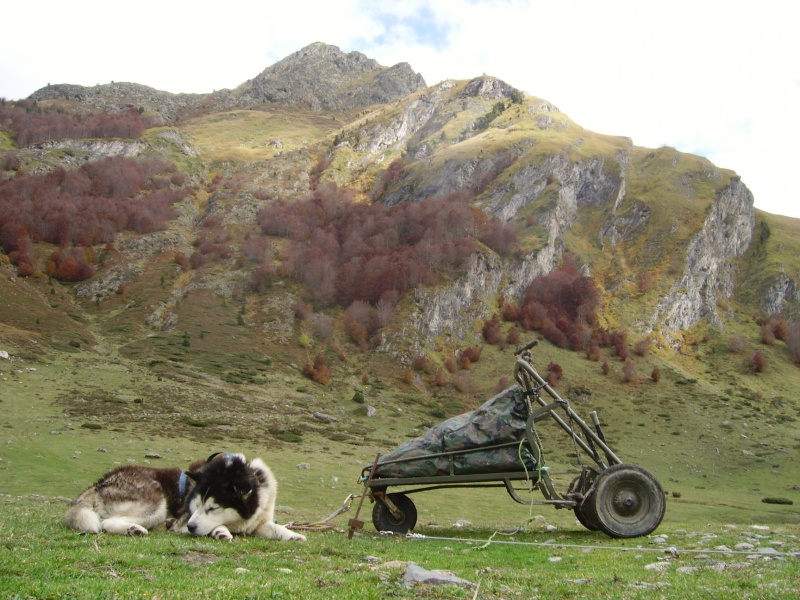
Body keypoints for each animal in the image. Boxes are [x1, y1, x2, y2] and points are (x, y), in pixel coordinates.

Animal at [63, 452, 304, 540]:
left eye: (213, 508)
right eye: (196, 506)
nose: (190, 526)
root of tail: (99, 482)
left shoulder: (259, 521)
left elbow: (274, 528)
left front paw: (292, 535)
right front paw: (220, 531)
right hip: (157, 501)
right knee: (106, 523)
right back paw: (134, 529)